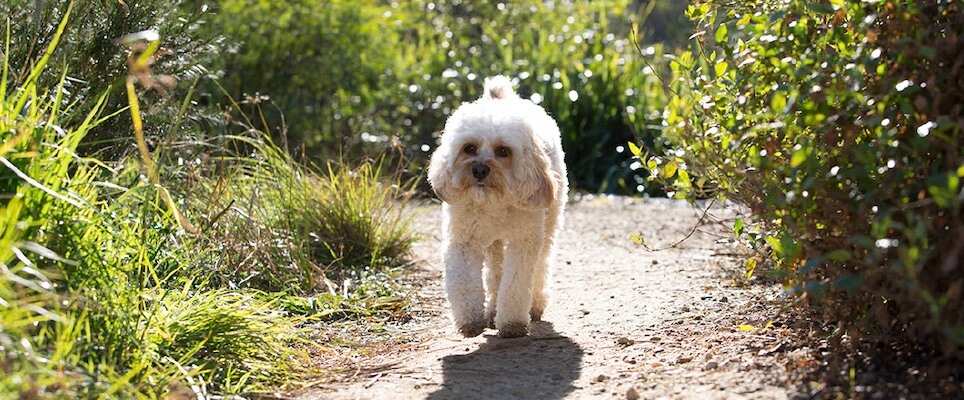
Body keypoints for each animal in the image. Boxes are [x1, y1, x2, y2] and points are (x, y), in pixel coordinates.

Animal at [428, 76, 568, 338]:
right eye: (469, 148)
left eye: (503, 151)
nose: (480, 169)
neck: (493, 203)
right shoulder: (463, 241)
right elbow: (465, 283)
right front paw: (470, 321)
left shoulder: (523, 243)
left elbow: (515, 284)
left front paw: (512, 323)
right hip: (494, 245)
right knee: (495, 273)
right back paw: (492, 310)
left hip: (548, 228)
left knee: (540, 268)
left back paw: (533, 306)